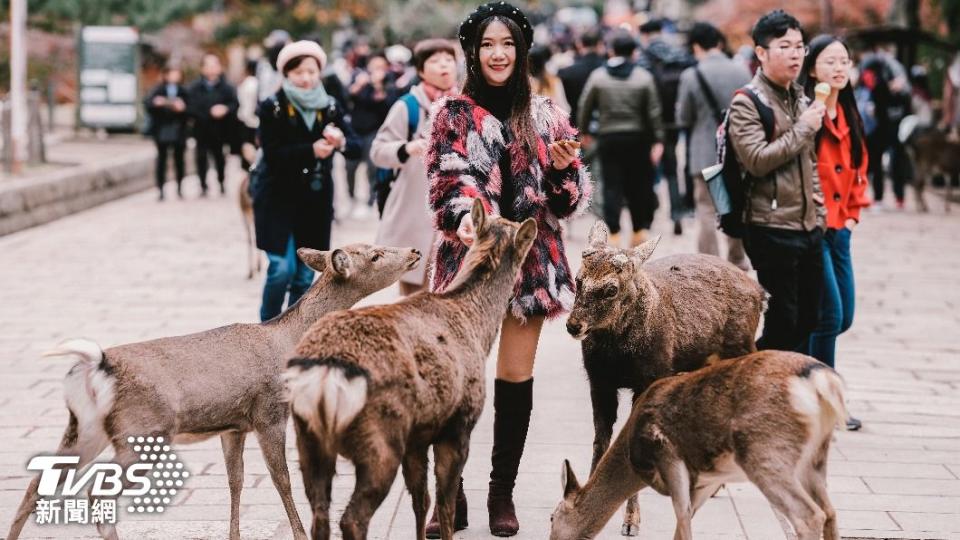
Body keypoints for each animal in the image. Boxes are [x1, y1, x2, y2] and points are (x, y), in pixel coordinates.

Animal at [5, 244, 420, 540]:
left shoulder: (233, 426)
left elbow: (235, 481)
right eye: (374, 254)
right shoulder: (270, 412)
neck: (287, 342)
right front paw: (302, 534)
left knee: (37, 483)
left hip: (83, 428)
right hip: (143, 430)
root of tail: (95, 365)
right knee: (96, 492)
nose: (415, 251)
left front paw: (233, 535)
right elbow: (281, 479)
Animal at [284, 199, 540, 540]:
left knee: (320, 515)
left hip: (307, 437)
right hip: (380, 436)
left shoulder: (418, 435)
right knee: (352, 518)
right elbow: (445, 503)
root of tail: (326, 375)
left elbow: (421, 499)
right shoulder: (458, 423)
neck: (477, 327)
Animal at [548, 352, 848, 540]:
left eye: (551, 518)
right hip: (814, 458)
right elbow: (685, 521)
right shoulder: (705, 480)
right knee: (831, 513)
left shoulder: (669, 458)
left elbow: (682, 522)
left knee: (810, 515)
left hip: (766, 452)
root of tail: (824, 382)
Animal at [568, 220, 768, 536]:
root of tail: (760, 294)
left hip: (743, 348)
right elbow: (601, 441)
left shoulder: (649, 377)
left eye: (611, 289)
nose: (574, 325)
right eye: (578, 279)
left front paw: (631, 521)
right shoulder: (599, 381)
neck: (617, 357)